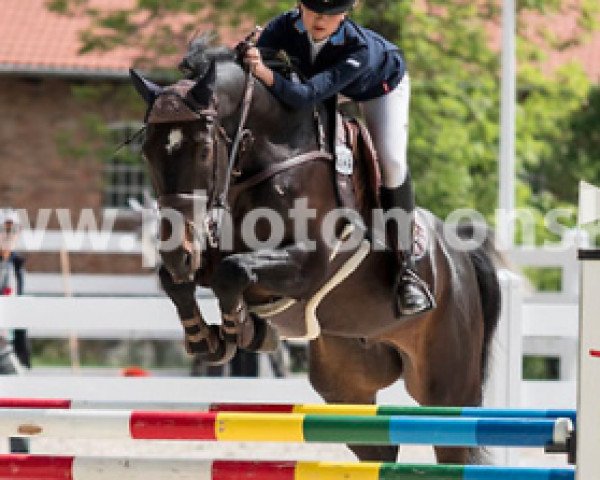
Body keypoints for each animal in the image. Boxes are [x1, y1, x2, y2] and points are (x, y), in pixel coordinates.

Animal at [130, 45, 502, 464]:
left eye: (204, 149)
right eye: (146, 151)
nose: (178, 252)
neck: (270, 160)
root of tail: (461, 257)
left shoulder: (309, 263)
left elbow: (234, 270)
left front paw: (241, 328)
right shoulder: (209, 252)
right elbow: (180, 282)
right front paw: (205, 339)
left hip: (446, 387)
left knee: (454, 443)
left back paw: (411, 292)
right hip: (347, 383)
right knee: (377, 448)